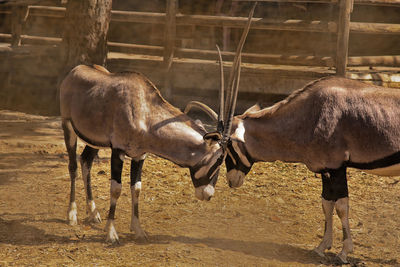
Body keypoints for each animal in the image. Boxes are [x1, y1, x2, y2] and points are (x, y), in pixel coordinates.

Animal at [58, 3, 256, 245]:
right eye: (220, 159)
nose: (208, 195)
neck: (146, 114)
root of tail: (75, 71)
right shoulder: (118, 151)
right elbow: (116, 188)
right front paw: (111, 233)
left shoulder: (139, 155)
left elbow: (137, 188)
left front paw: (138, 230)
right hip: (68, 127)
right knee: (73, 166)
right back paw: (72, 214)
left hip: (95, 140)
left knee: (86, 161)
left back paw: (93, 213)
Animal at [188, 75, 400, 264]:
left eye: (228, 148)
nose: (232, 181)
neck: (310, 114)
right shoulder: (326, 170)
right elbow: (327, 204)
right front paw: (321, 247)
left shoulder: (337, 168)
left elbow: (341, 207)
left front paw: (343, 253)